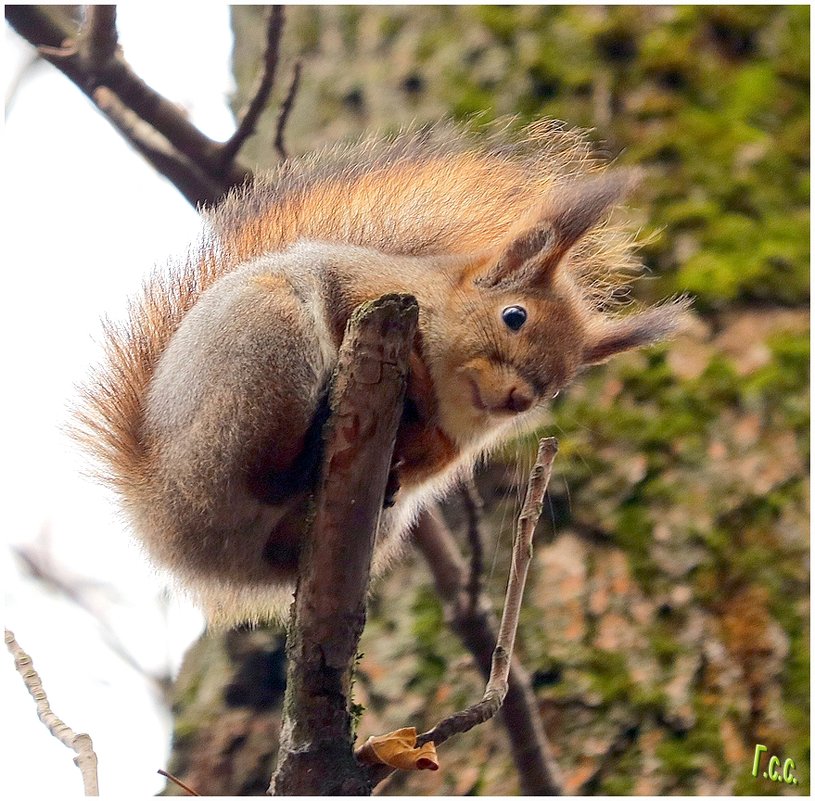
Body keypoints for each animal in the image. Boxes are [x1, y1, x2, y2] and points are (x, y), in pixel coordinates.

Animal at [75, 120, 688, 624]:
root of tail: (164, 514)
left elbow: (427, 459)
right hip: (261, 356)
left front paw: (406, 455)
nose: (518, 399)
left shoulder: (451, 443)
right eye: (513, 316)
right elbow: (337, 299)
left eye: (558, 387)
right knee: (260, 470)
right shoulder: (360, 282)